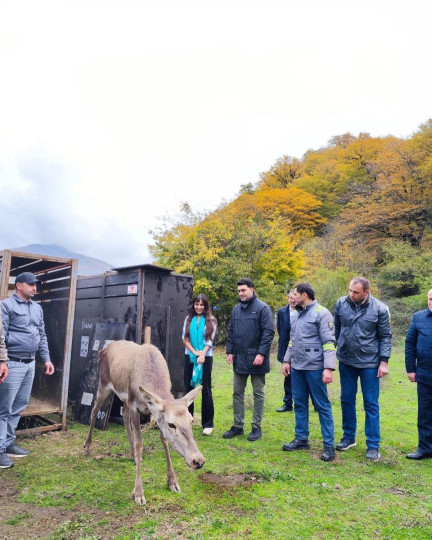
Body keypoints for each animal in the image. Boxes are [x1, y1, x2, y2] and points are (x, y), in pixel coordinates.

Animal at [84, 340, 206, 504]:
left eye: (191, 420)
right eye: (171, 424)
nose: (198, 461)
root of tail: (103, 349)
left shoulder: (152, 410)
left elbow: (164, 440)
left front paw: (172, 482)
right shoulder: (134, 404)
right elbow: (139, 444)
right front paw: (138, 493)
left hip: (123, 398)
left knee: (123, 412)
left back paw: (133, 455)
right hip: (103, 383)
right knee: (95, 408)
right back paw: (87, 447)